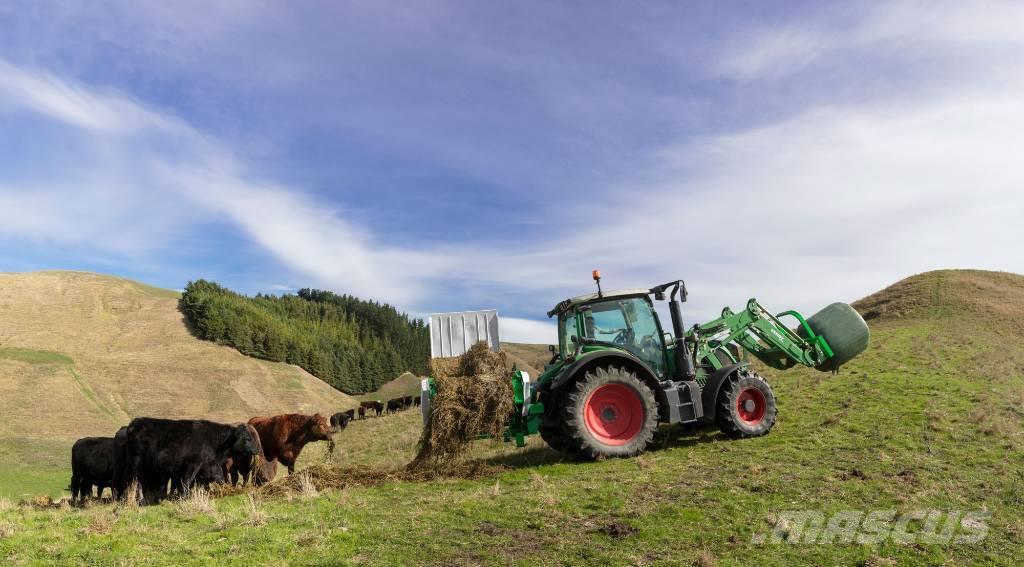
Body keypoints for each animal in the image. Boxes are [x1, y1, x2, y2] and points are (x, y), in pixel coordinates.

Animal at [122, 415, 260, 503]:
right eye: (247, 438)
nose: (258, 449)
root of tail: (133, 424)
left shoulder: (210, 465)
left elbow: (217, 478)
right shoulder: (193, 464)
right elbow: (187, 481)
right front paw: (184, 497)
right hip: (137, 464)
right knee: (137, 482)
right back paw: (141, 500)